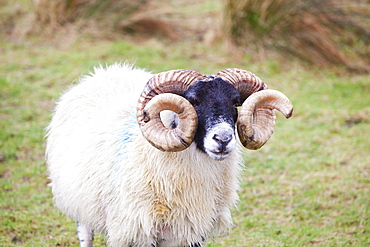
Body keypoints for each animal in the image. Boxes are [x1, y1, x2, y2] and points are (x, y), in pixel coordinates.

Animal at [45, 62, 292, 246]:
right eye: (193, 101)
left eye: (236, 102)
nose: (223, 139)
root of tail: (106, 72)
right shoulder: (133, 231)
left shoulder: (189, 233)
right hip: (80, 203)